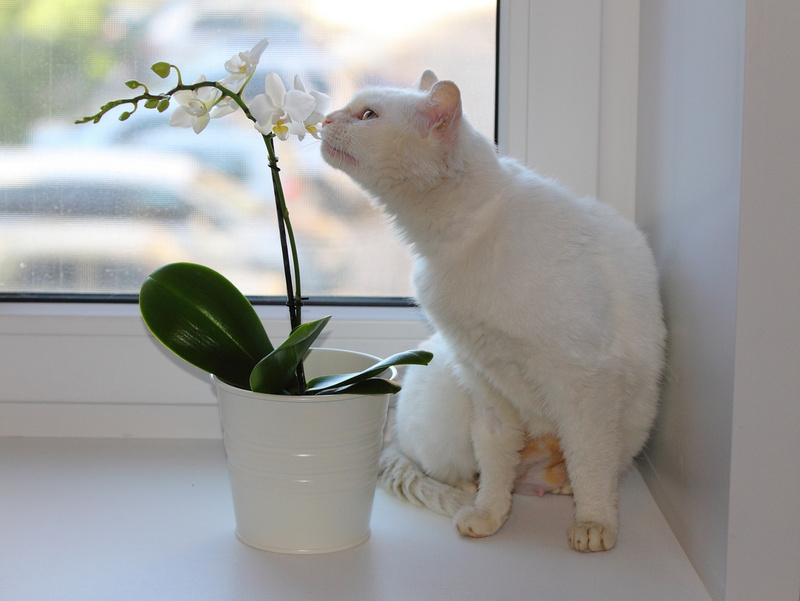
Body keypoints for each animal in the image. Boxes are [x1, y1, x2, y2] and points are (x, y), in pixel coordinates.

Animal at [320, 70, 666, 552]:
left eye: (368, 115)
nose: (324, 118)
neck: (460, 238)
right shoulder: (485, 382)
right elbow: (497, 461)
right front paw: (489, 514)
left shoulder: (584, 384)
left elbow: (590, 464)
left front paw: (595, 522)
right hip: (447, 390)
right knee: (457, 469)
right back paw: (478, 491)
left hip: (635, 417)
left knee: (595, 465)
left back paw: (562, 485)